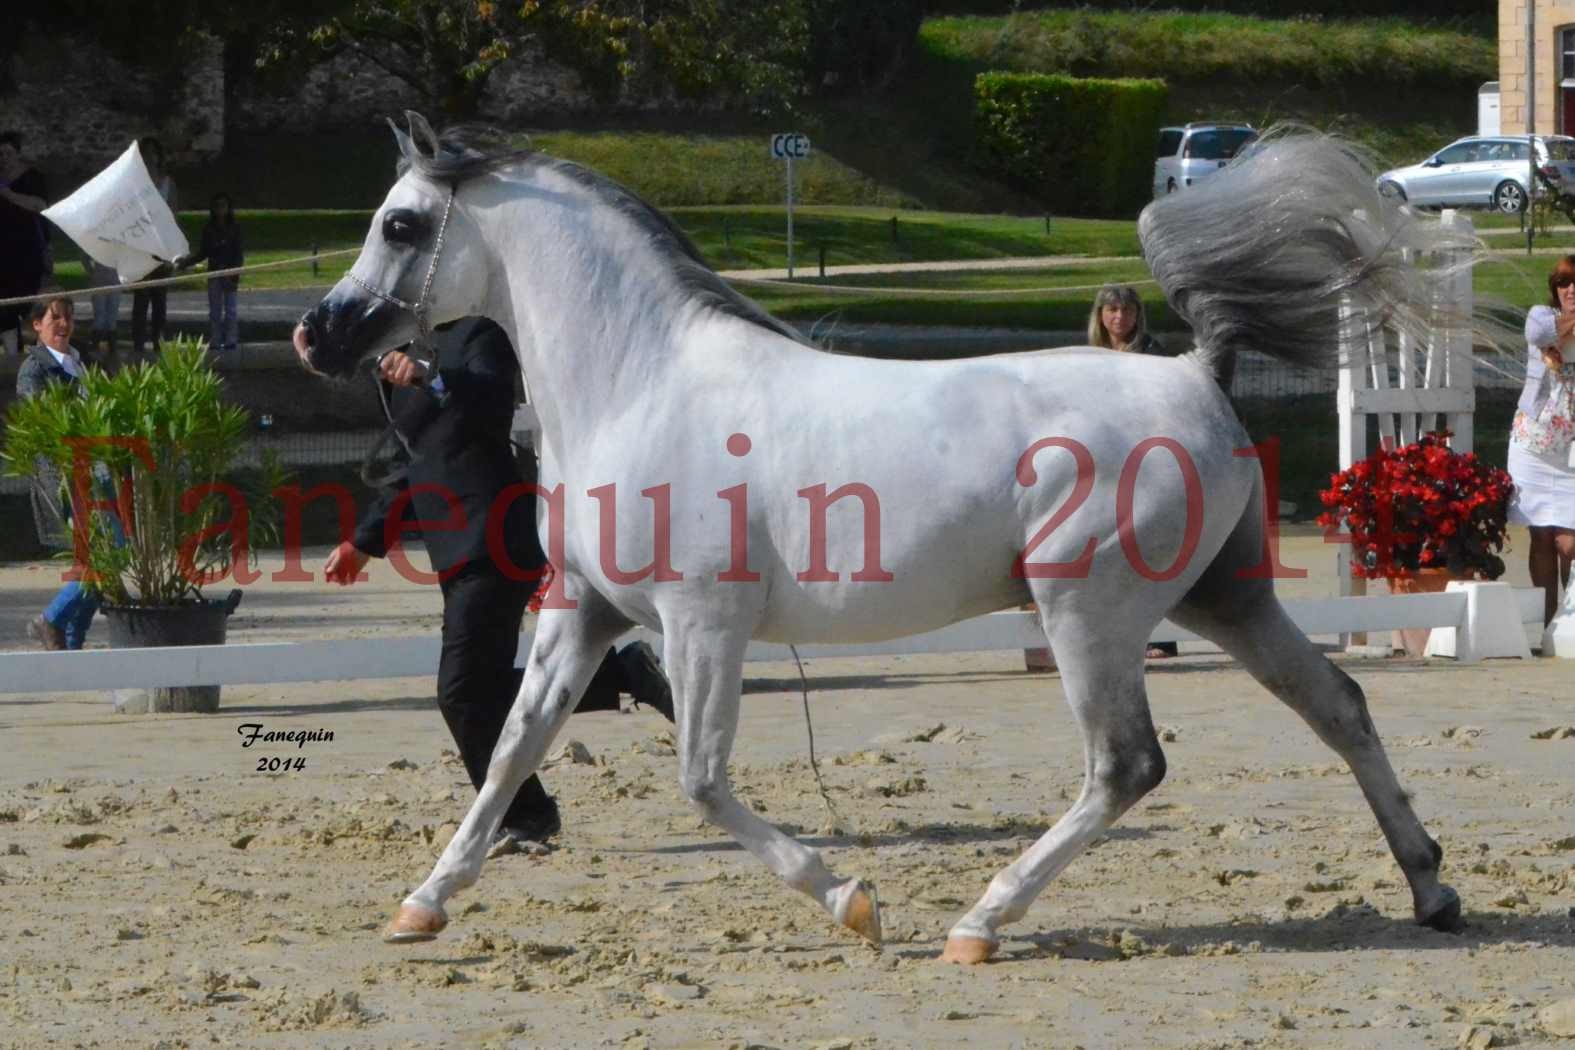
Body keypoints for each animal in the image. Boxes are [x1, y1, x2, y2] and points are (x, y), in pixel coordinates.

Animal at [296, 113, 1474, 963]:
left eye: (400, 225)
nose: (319, 333)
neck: (639, 380)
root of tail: (1196, 371)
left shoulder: (701, 622)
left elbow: (701, 778)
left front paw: (855, 904)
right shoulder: (580, 612)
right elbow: (511, 747)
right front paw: (421, 906)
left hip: (1087, 611)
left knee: (1126, 765)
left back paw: (980, 924)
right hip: (1222, 597)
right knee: (1337, 705)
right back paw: (1431, 887)